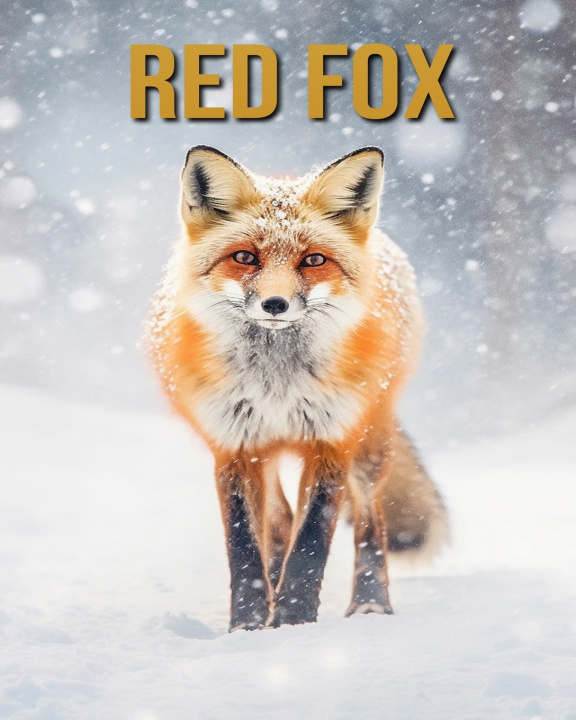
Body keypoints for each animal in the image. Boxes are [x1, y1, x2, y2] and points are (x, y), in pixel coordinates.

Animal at [148, 145, 449, 631]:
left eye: (313, 260)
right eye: (245, 258)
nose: (276, 304)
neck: (277, 383)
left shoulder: (331, 442)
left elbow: (310, 544)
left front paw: (292, 623)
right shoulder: (234, 447)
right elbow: (245, 548)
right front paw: (249, 628)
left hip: (368, 448)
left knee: (370, 522)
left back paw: (370, 605)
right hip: (267, 451)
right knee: (279, 523)